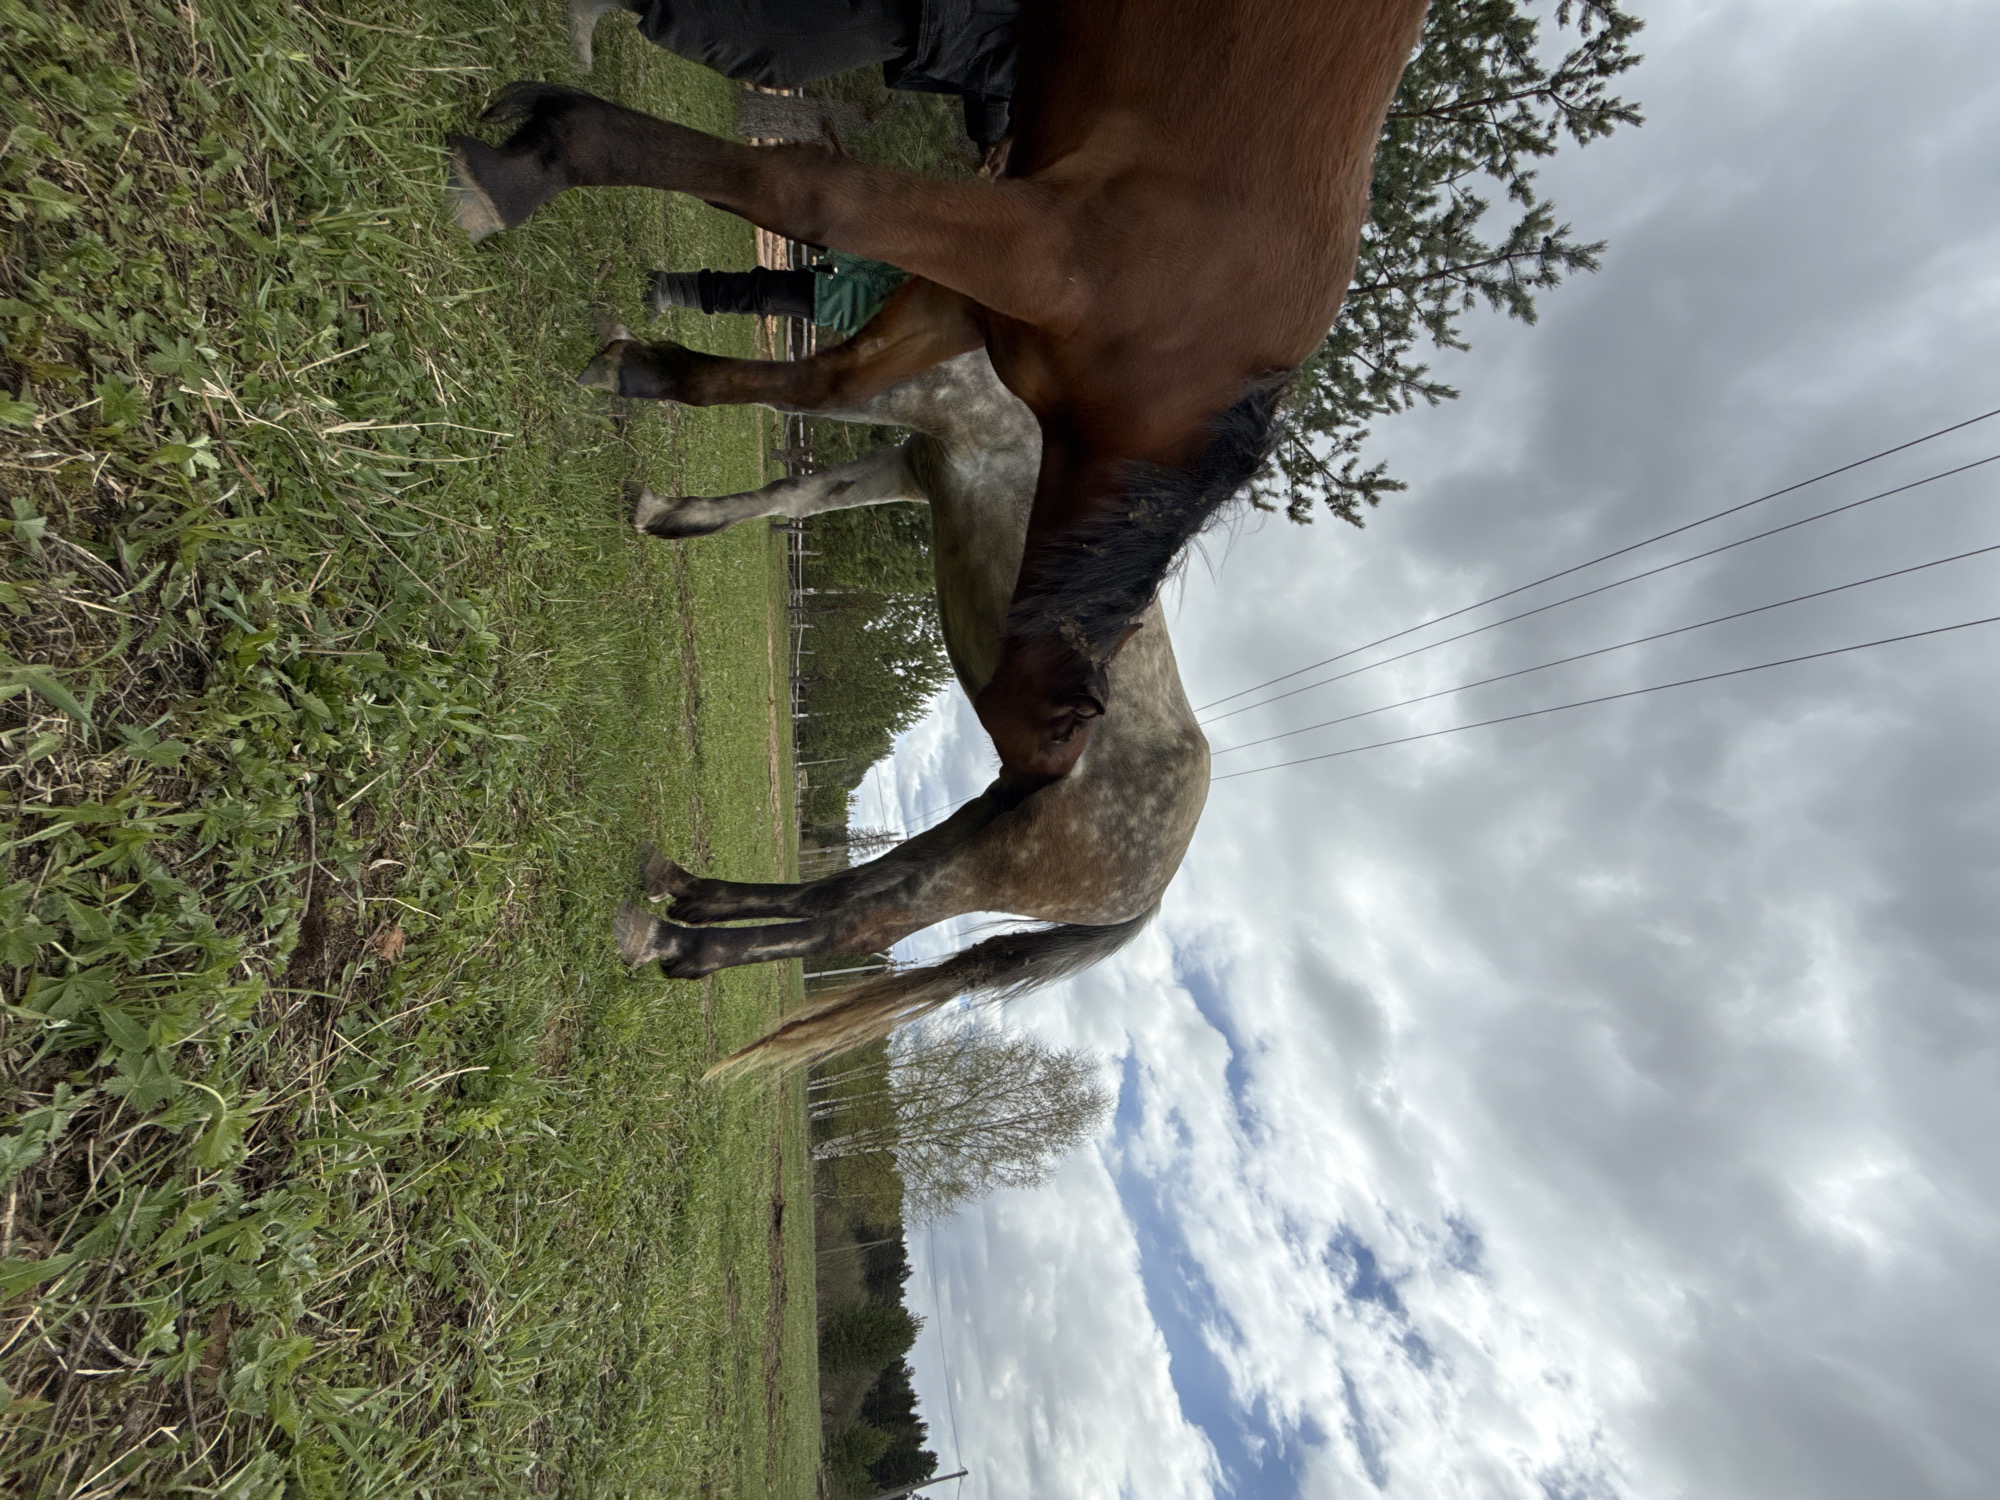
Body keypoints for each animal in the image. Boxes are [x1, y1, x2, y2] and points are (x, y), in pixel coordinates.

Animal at [446, 0, 1430, 784]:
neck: (1194, 354)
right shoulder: (1037, 246)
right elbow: (804, 194)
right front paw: (531, 163)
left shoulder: (972, 299)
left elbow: (822, 377)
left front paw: (644, 370)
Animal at [611, 350, 1209, 1075]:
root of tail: (1154, 891)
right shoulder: (911, 459)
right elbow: (791, 492)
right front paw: (666, 512)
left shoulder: (923, 397)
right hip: (977, 824)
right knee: (833, 894)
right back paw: (688, 890)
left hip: (991, 864)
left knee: (857, 924)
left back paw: (670, 941)